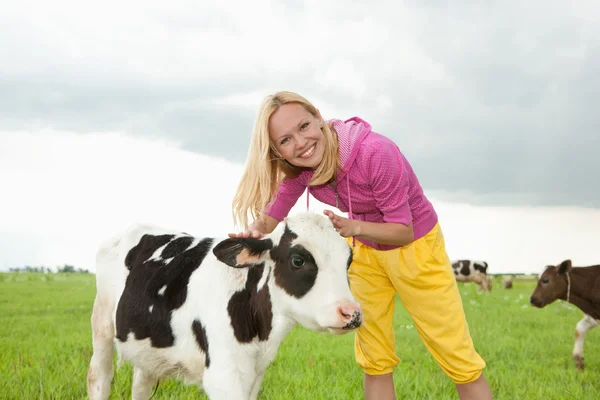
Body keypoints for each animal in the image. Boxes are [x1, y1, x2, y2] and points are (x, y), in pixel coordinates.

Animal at [86, 211, 364, 398]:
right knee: (99, 376)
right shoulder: (223, 376)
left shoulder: (254, 374)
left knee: (141, 383)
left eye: (348, 261)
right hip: (102, 325)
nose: (351, 313)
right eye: (298, 260)